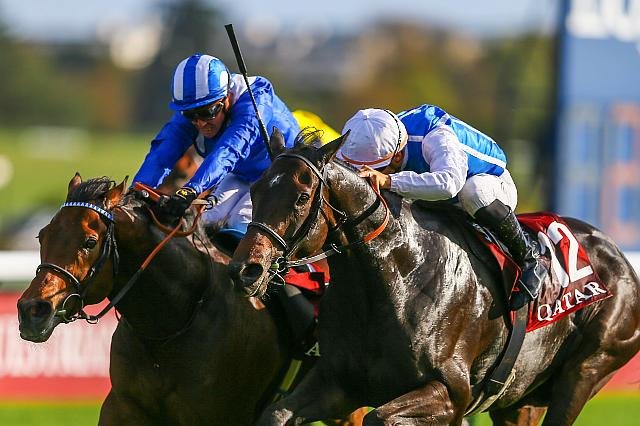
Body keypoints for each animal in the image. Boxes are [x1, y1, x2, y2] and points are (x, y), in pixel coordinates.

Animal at [229, 129, 640, 425]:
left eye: (301, 197)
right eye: (255, 189)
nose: (246, 269)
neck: (396, 279)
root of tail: (619, 258)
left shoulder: (451, 392)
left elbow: (380, 418)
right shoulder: (337, 382)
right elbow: (276, 414)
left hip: (588, 369)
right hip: (519, 398)